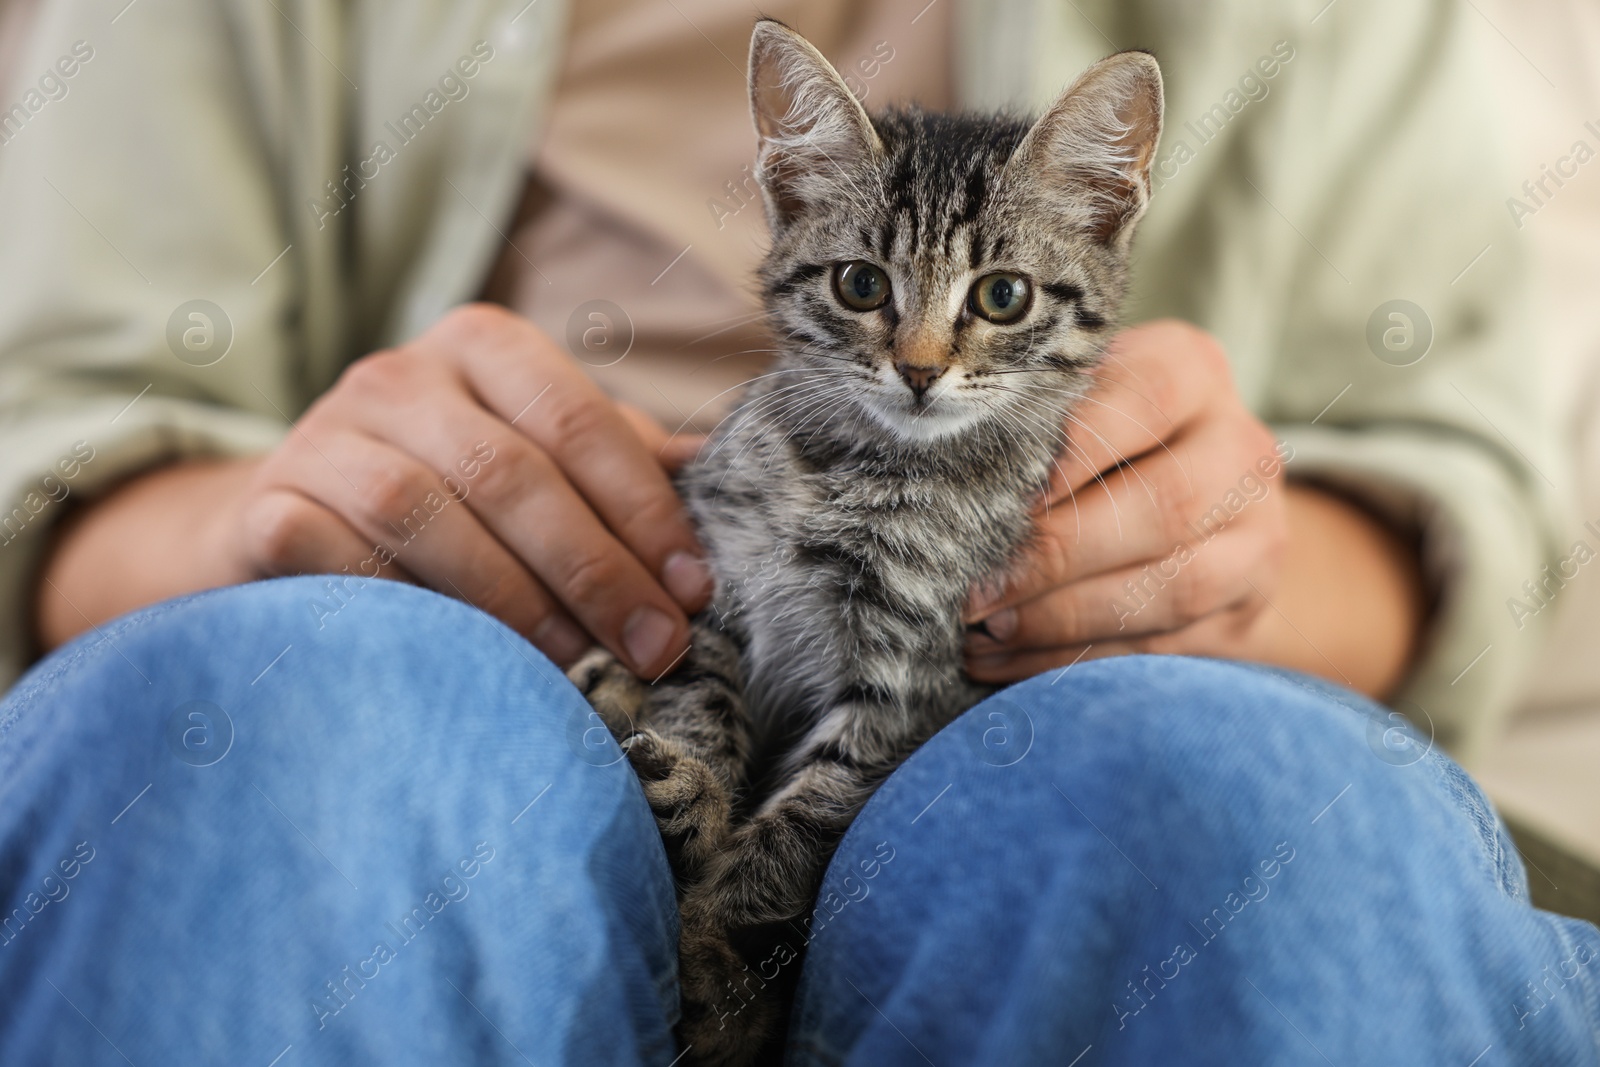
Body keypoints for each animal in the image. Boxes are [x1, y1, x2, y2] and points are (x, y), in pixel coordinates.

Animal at [572, 18, 1164, 1067]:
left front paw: (710, 948)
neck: (855, 467)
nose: (920, 371)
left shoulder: (908, 680)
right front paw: (692, 791)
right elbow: (701, 700)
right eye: (860, 284)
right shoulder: (714, 588)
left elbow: (803, 822)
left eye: (1002, 296)